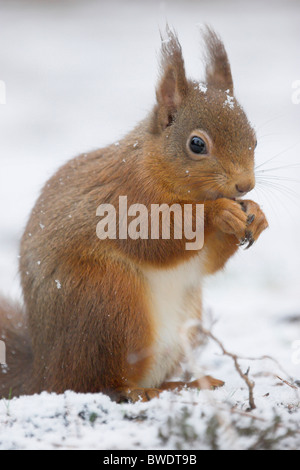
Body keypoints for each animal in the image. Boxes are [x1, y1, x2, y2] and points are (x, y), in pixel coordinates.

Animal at [0, 26, 268, 400]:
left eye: (255, 140)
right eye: (197, 144)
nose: (245, 185)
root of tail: (44, 375)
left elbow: (207, 261)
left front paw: (256, 215)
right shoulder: (125, 197)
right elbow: (157, 238)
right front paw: (218, 213)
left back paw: (182, 383)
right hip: (110, 302)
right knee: (99, 381)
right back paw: (139, 390)